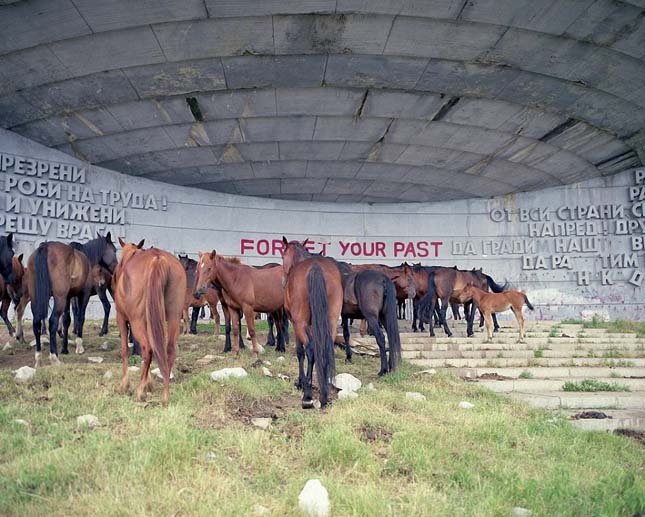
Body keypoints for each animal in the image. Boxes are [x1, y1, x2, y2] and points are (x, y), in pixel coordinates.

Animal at [27, 232, 117, 364]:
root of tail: (44, 248)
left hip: (37, 298)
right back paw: (54, 357)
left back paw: (38, 357)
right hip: (59, 298)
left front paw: (64, 348)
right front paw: (79, 346)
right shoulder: (83, 295)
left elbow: (67, 320)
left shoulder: (68, 297)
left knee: (36, 323)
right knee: (52, 321)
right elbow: (80, 317)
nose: (116, 268)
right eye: (114, 250)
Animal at [112, 239, 184, 408]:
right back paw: (165, 396)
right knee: (169, 350)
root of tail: (157, 259)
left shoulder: (121, 319)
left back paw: (139, 392)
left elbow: (125, 349)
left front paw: (125, 385)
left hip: (136, 321)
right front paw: (147, 384)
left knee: (148, 349)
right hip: (174, 317)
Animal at [280, 237, 342, 408]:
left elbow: (300, 352)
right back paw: (324, 392)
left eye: (283, 255)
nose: (283, 281)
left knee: (310, 349)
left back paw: (308, 395)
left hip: (300, 323)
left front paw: (302, 382)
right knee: (325, 348)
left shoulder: (295, 323)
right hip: (331, 322)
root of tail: (315, 267)